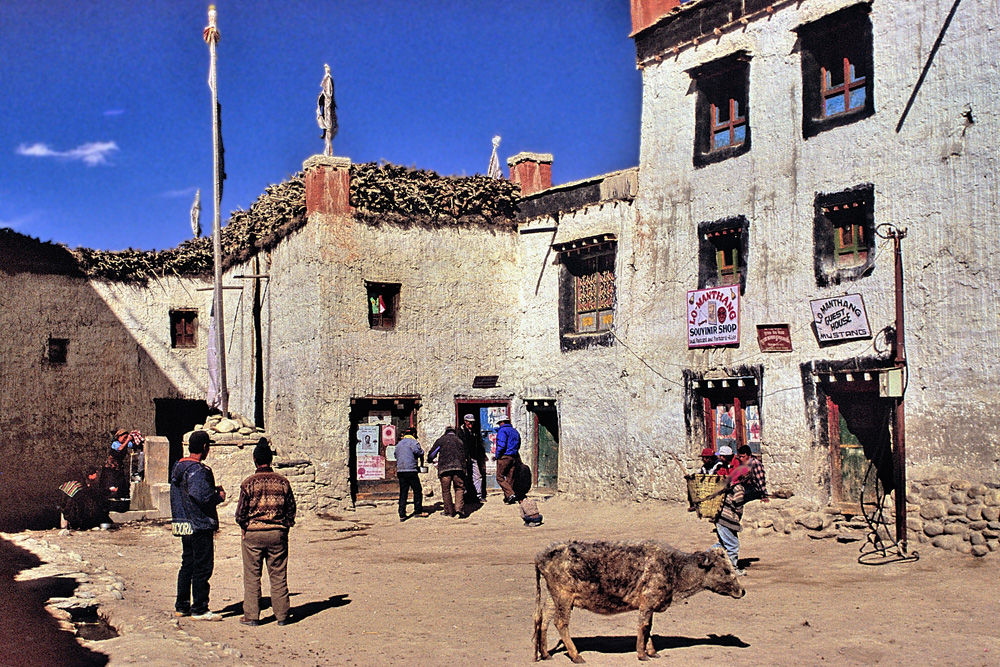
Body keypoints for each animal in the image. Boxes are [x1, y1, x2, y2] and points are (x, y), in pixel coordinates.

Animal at [536, 544, 748, 664]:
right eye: (726, 570)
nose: (742, 591)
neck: (674, 569)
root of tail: (544, 556)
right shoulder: (647, 603)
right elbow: (643, 626)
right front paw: (642, 654)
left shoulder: (650, 605)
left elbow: (649, 628)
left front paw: (652, 652)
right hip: (564, 598)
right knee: (560, 623)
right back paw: (576, 656)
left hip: (552, 598)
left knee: (543, 621)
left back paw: (545, 654)